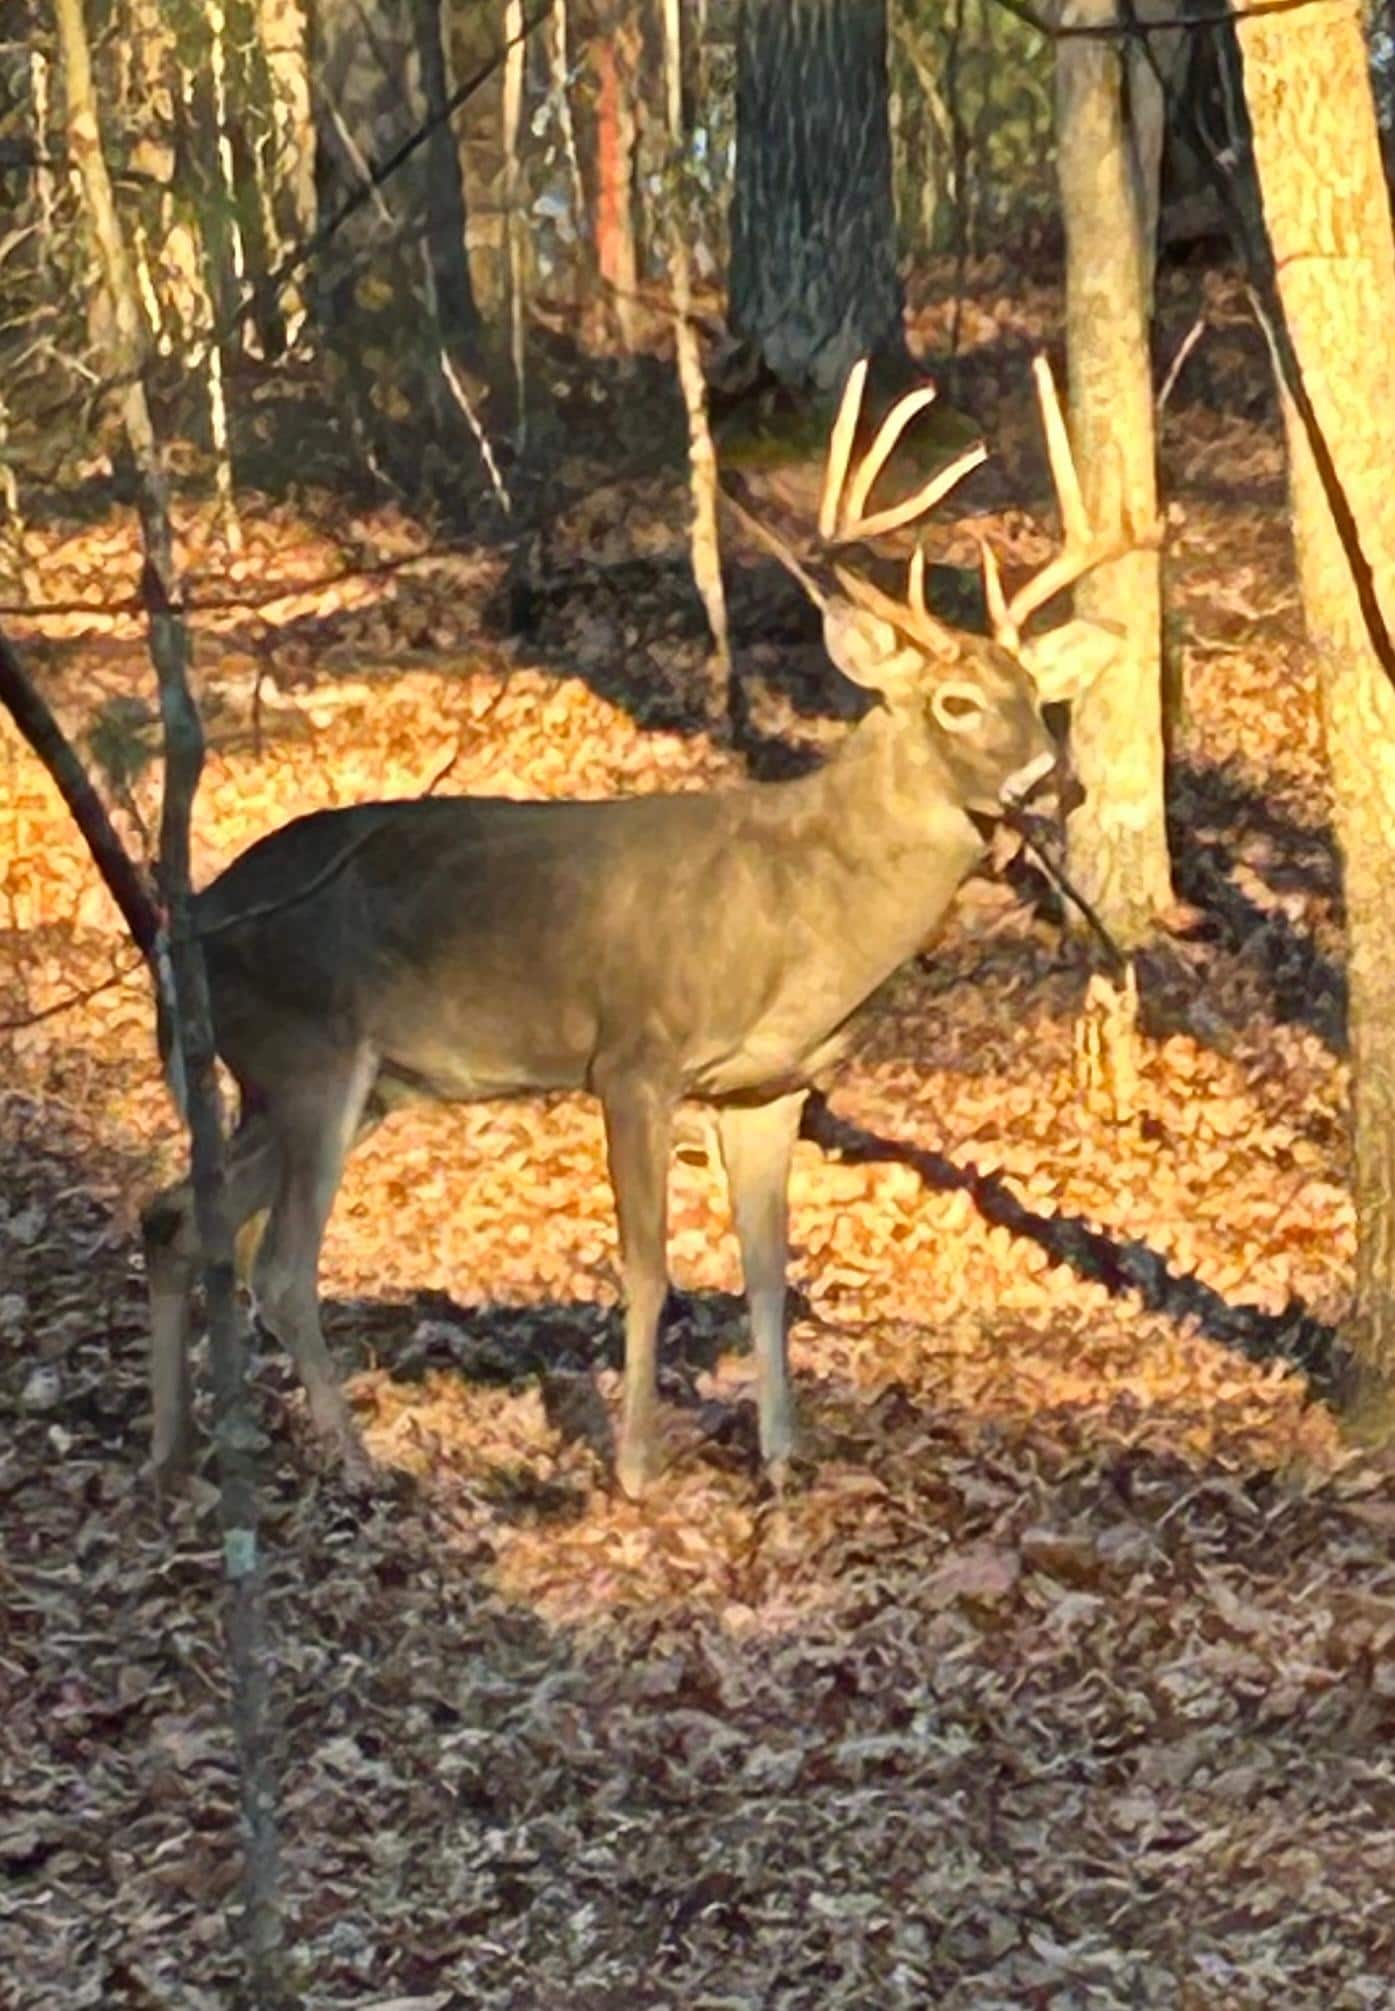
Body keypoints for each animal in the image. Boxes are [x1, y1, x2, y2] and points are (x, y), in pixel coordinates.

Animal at [142, 356, 1134, 1499]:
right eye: (956, 702)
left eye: (1037, 696)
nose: (1055, 781)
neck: (800, 911)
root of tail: (192, 925)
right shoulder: (633, 1055)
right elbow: (650, 1265)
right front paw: (636, 1464)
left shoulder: (768, 1084)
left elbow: (763, 1269)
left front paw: (782, 1455)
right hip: (310, 1056)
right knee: (278, 1264)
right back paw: (356, 1462)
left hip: (323, 1081)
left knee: (174, 1216)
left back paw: (171, 1452)